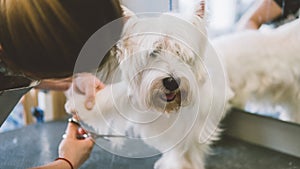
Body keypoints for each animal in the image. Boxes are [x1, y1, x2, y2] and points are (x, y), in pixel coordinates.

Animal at [65, 0, 230, 168]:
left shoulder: (190, 132)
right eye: (153, 52)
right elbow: (115, 96)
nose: (172, 82)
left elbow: (183, 155)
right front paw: (81, 104)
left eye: (180, 53)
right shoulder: (137, 93)